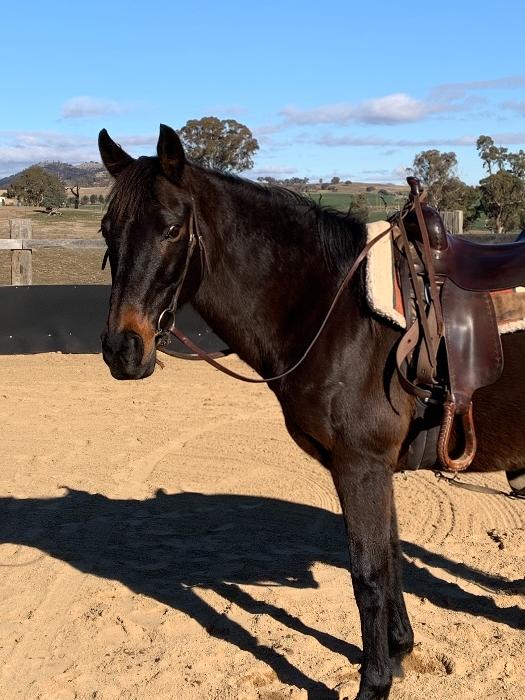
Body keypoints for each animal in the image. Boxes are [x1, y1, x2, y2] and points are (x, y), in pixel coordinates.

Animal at [97, 124, 525, 700]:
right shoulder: (374, 470)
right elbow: (390, 560)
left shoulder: (359, 465)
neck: (331, 307)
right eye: (107, 229)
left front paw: (373, 683)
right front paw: (400, 651)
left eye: (170, 228)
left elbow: (367, 574)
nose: (123, 349)